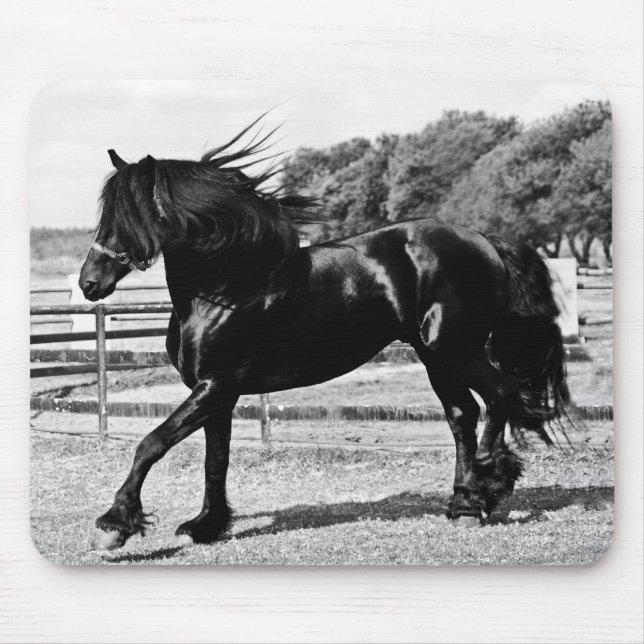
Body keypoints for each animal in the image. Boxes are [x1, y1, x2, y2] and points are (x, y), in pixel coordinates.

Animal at [79, 127, 569, 550]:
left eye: (132, 215)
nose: (89, 283)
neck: (228, 287)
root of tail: (483, 240)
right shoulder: (217, 393)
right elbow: (214, 460)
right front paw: (207, 525)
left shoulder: (214, 386)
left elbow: (151, 443)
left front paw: (115, 524)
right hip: (437, 358)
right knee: (462, 415)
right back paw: (465, 503)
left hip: (455, 350)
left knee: (499, 395)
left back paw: (489, 479)